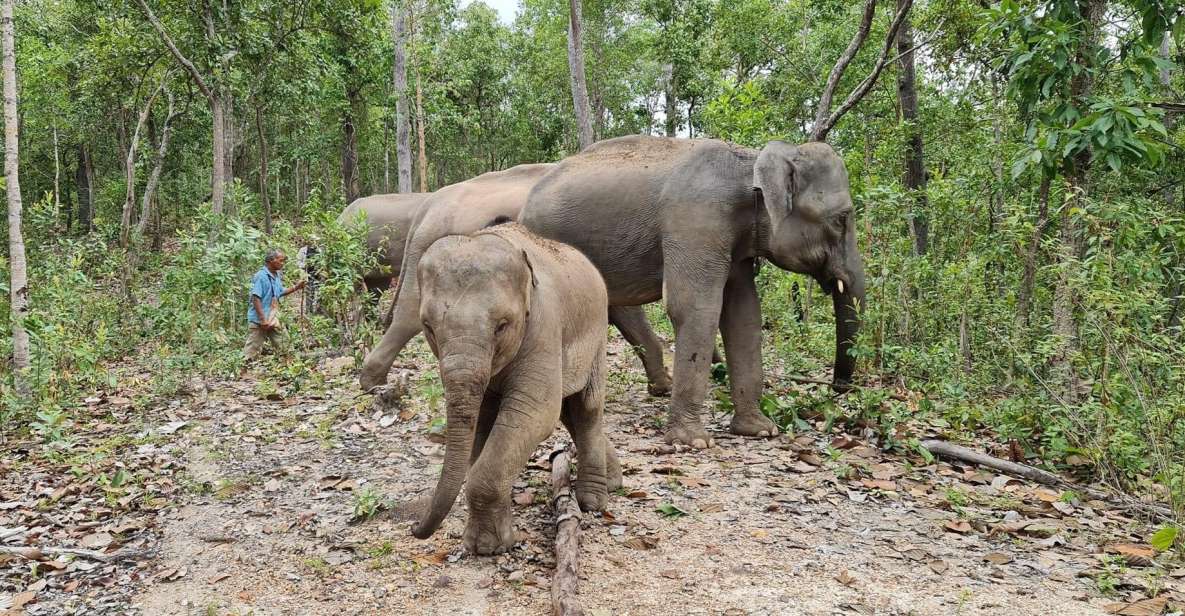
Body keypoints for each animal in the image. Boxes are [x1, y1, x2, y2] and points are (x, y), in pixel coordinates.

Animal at [412, 221, 625, 554]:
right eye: (428, 327)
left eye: (502, 325)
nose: (414, 528)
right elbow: (485, 419)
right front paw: (487, 541)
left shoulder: (544, 325)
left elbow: (535, 412)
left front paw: (487, 548)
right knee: (568, 412)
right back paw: (614, 481)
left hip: (597, 334)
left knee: (586, 408)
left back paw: (592, 501)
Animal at [523, 137, 867, 450]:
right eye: (841, 219)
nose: (838, 387)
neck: (749, 162)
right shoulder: (696, 223)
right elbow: (694, 307)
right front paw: (694, 441)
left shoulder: (736, 244)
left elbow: (743, 315)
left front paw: (760, 430)